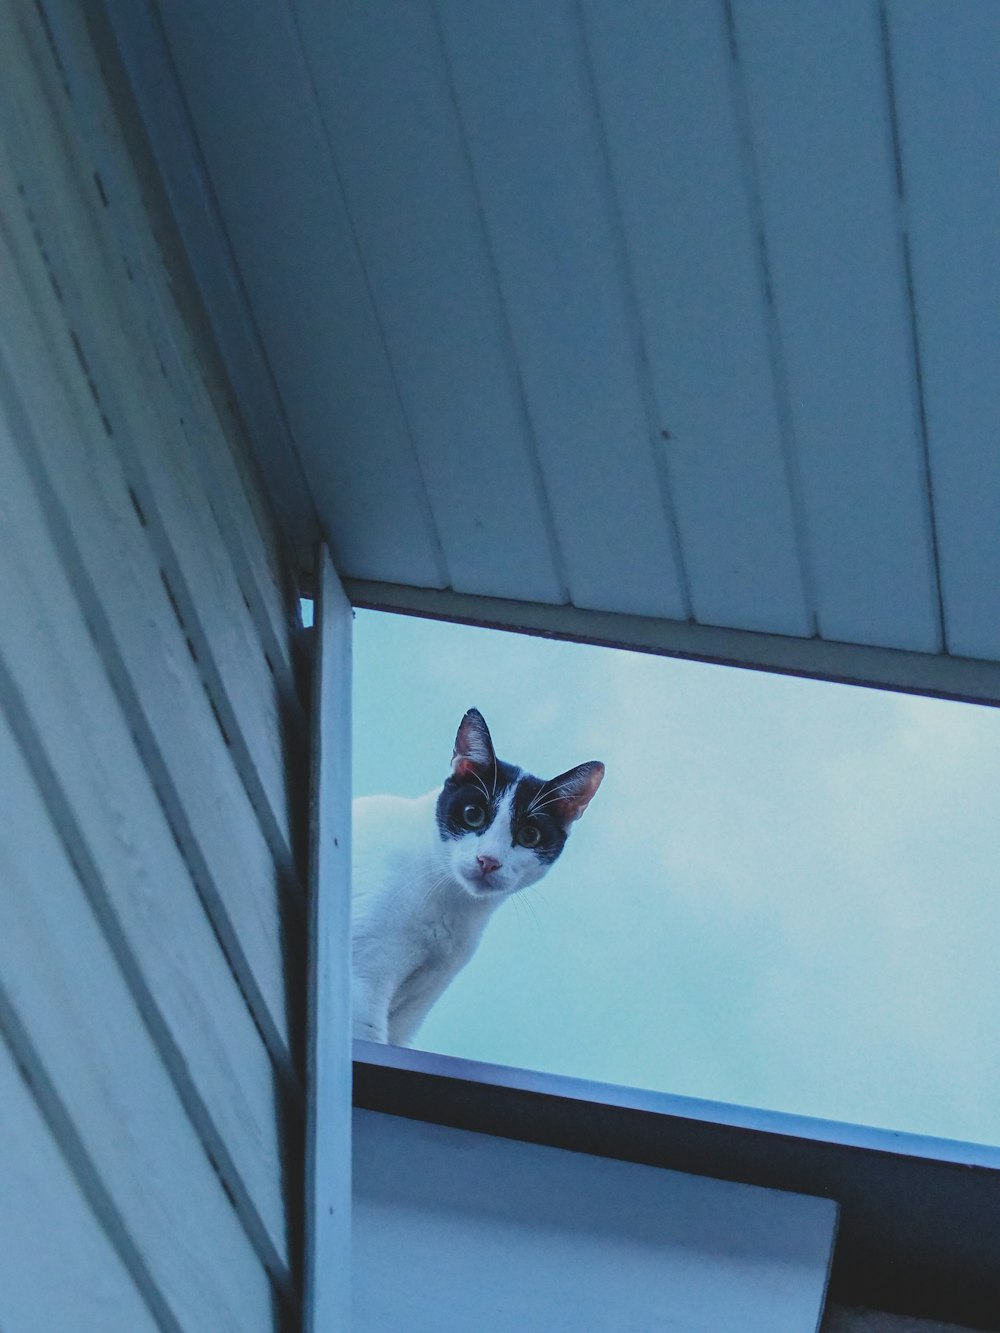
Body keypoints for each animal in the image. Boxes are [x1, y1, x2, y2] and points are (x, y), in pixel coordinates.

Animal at [352, 714, 602, 1045]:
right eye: (473, 815)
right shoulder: (364, 980)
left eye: (529, 835)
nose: (488, 860)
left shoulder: (415, 1006)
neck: (451, 905)